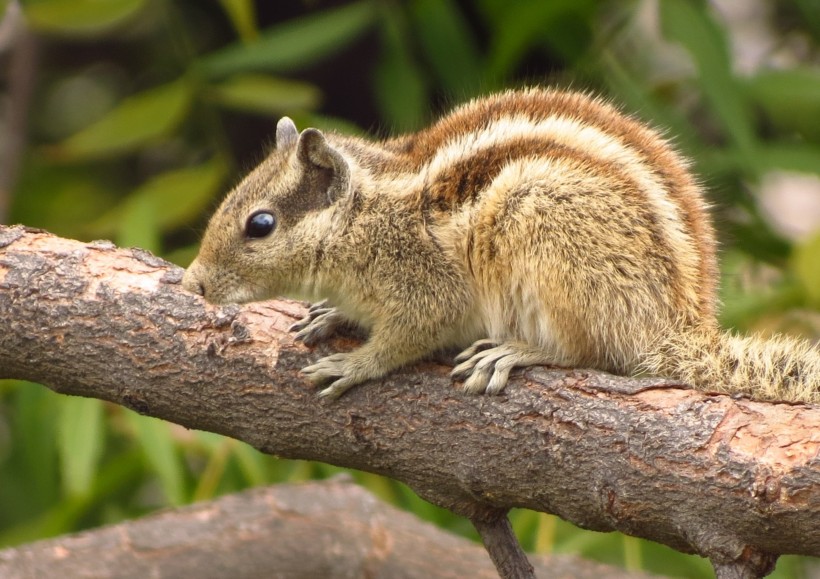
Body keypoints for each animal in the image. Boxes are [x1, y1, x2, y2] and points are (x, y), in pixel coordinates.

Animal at [181, 87, 820, 404]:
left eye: (260, 224)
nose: (193, 281)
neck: (365, 216)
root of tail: (680, 327)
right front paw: (328, 315)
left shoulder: (424, 286)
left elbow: (411, 335)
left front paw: (357, 363)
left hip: (544, 231)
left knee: (593, 351)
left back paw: (515, 352)